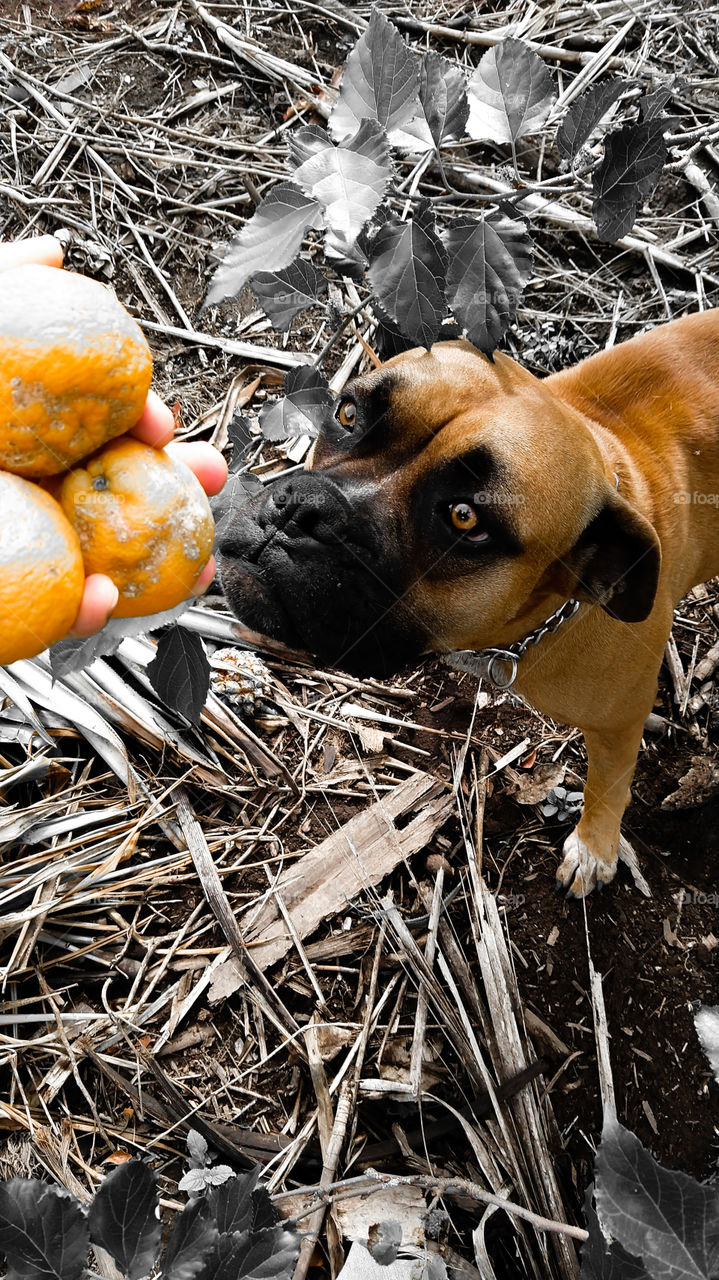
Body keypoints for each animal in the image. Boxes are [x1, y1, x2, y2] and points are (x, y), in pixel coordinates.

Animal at [218, 311, 716, 896]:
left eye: (464, 518)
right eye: (348, 413)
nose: (302, 508)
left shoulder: (621, 722)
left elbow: (608, 783)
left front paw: (596, 848)